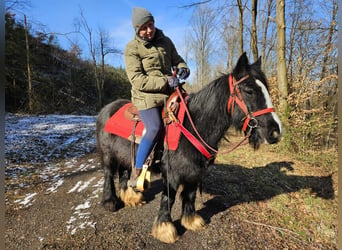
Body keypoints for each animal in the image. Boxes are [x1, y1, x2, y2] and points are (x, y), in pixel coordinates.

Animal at [95, 52, 282, 242]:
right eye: (249, 90)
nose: (275, 132)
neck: (191, 127)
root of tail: (106, 109)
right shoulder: (171, 174)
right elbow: (168, 199)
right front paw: (165, 228)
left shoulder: (195, 172)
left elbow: (190, 195)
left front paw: (191, 220)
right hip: (108, 156)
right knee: (108, 175)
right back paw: (110, 202)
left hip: (125, 155)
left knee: (124, 173)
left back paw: (131, 197)